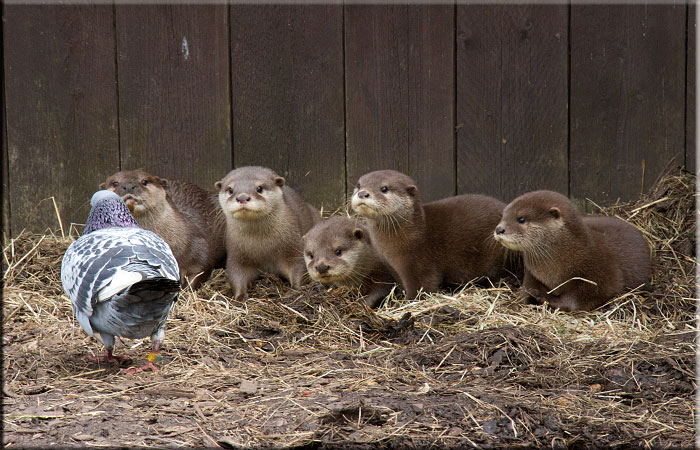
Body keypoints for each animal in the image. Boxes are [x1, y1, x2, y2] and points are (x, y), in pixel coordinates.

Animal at [215, 166, 320, 300]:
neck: (263, 247)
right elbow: (236, 273)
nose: (242, 198)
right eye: (230, 189)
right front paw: (240, 297)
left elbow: (299, 267)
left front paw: (294, 290)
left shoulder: (293, 247)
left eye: (259, 188)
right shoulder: (236, 254)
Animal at [351, 170, 510, 299]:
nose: (362, 193)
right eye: (358, 185)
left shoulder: (418, 262)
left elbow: (423, 286)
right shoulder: (392, 267)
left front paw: (409, 302)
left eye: (384, 188)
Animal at [494, 190, 651, 312]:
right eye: (503, 216)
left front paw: (546, 298)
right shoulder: (533, 273)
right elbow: (527, 288)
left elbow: (576, 300)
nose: (499, 229)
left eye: (521, 219)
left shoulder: (599, 277)